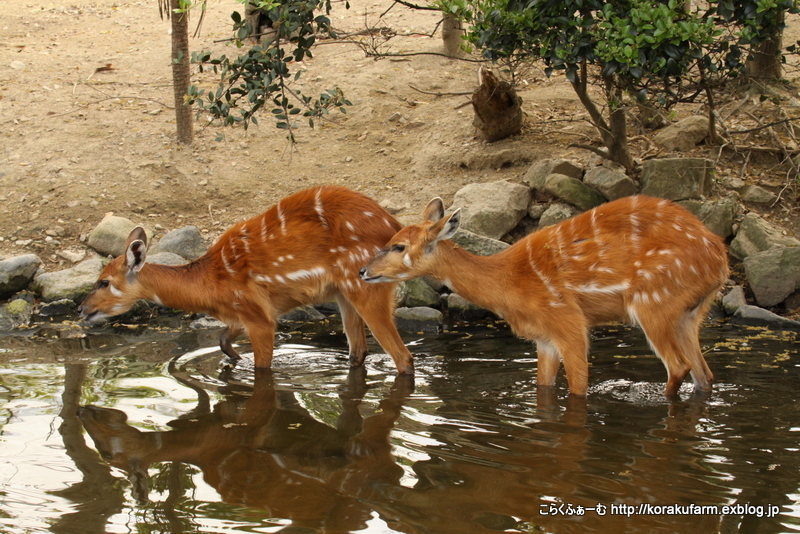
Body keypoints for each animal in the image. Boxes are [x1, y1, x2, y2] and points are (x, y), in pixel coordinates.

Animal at [79, 188, 416, 376]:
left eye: (103, 282)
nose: (82, 309)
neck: (208, 282)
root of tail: (394, 225)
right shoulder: (246, 315)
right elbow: (222, 341)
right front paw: (233, 359)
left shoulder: (260, 318)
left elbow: (262, 366)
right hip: (343, 294)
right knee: (358, 352)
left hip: (367, 288)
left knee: (403, 357)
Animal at [362, 197, 732, 398]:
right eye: (392, 238)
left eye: (399, 246)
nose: (364, 271)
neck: (509, 281)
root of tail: (720, 258)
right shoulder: (544, 338)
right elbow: (543, 387)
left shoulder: (570, 324)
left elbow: (578, 389)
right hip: (690, 314)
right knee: (704, 375)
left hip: (653, 304)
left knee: (680, 367)